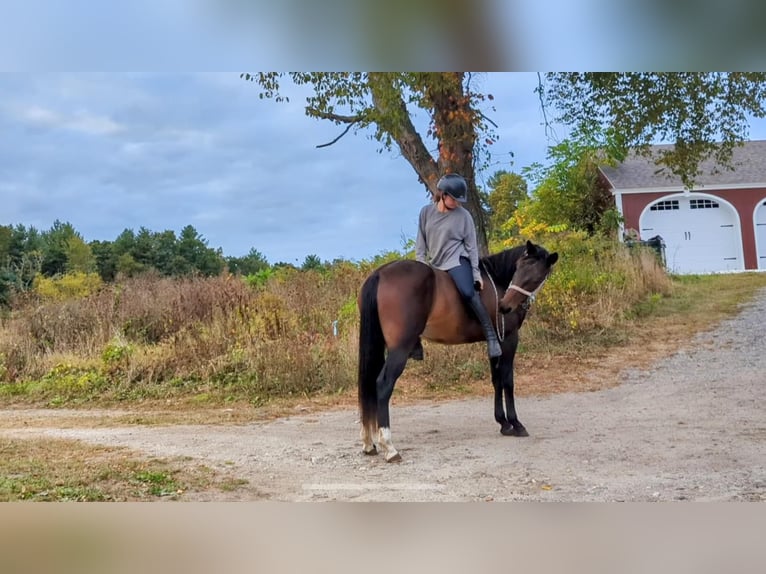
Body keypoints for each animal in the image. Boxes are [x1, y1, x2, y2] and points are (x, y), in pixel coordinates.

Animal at [356, 240, 560, 464]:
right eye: (519, 269)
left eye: (535, 276)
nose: (505, 306)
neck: (498, 281)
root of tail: (380, 273)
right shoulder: (508, 340)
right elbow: (507, 381)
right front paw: (516, 424)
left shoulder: (495, 344)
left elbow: (496, 380)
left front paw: (503, 423)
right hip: (399, 349)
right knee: (383, 384)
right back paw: (389, 446)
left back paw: (369, 443)